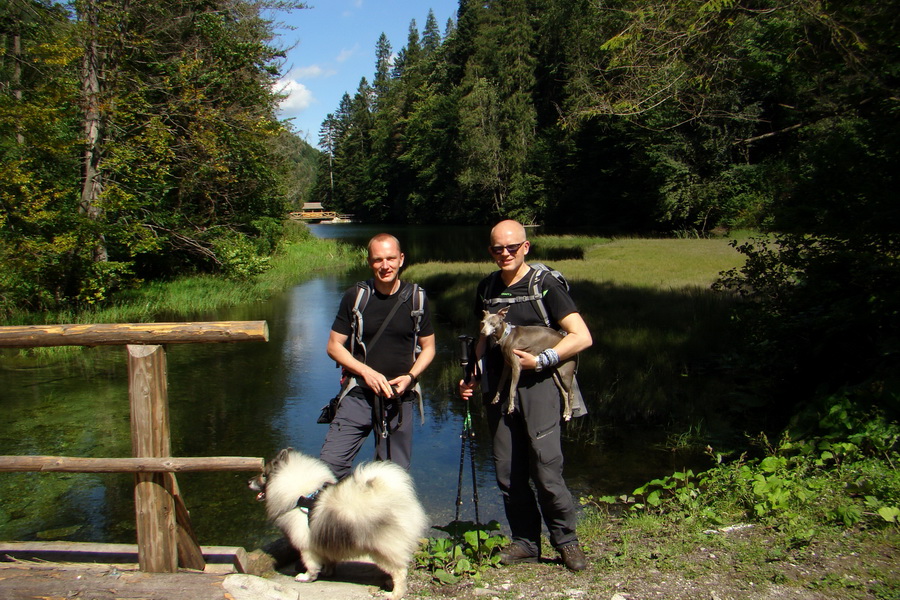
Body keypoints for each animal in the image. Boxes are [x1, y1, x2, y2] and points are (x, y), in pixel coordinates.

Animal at [248, 448, 428, 596]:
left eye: (263, 475)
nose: (248, 481)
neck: (301, 495)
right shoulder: (323, 541)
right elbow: (328, 559)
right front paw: (327, 571)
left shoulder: (307, 547)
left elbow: (311, 565)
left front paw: (306, 577)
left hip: (383, 549)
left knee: (400, 573)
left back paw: (394, 594)